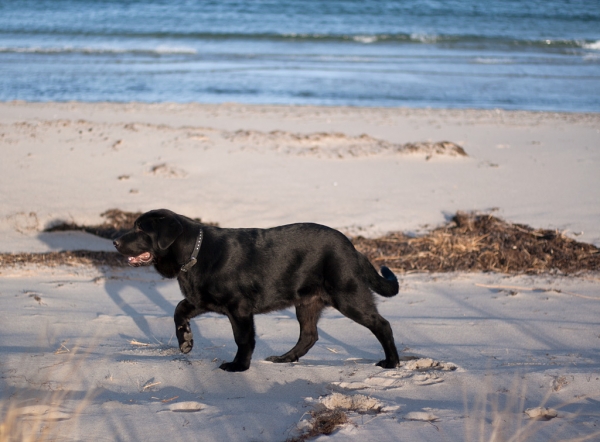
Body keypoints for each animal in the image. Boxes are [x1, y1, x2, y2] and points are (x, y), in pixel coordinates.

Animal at [115, 209, 400, 372]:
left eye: (141, 228)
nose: (115, 241)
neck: (194, 254)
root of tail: (353, 249)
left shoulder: (238, 308)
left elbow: (243, 339)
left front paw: (238, 366)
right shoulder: (200, 299)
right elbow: (178, 310)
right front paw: (185, 341)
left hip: (348, 295)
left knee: (382, 324)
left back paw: (392, 362)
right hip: (306, 302)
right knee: (309, 335)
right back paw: (285, 359)